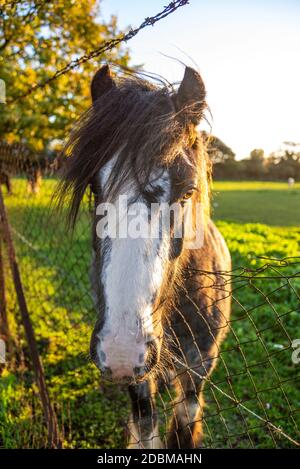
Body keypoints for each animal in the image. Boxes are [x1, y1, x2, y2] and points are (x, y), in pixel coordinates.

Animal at [56, 64, 232, 448]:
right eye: (94, 188)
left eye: (188, 191)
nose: (121, 349)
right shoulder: (138, 381)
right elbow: (146, 423)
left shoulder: (199, 369)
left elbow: (184, 424)